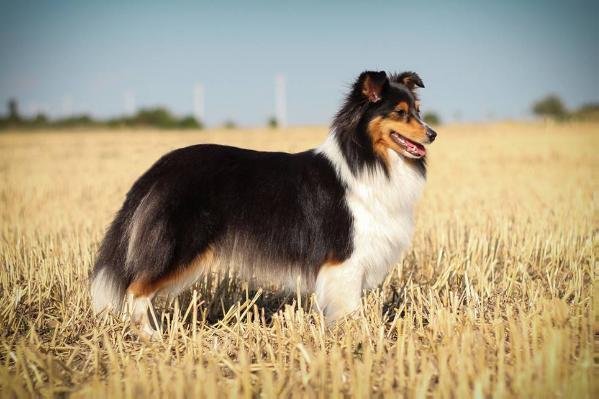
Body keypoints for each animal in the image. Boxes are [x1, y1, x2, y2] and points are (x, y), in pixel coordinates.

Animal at [90, 70, 436, 336]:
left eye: (418, 110)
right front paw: (358, 337)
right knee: (135, 290)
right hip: (179, 246)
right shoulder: (346, 259)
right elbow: (350, 309)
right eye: (400, 113)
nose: (432, 134)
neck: (367, 159)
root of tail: (159, 168)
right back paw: (152, 337)